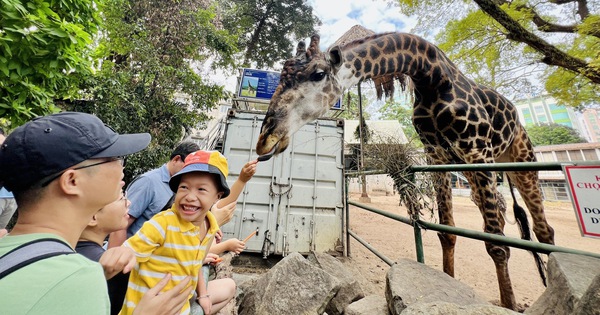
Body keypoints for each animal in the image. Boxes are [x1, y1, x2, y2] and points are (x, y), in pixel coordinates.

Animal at [255, 32, 556, 312]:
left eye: (318, 74)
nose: (265, 140)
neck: (431, 78)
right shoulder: (437, 155)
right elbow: (447, 232)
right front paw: (449, 283)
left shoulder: (477, 150)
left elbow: (496, 244)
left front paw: (508, 305)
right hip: (473, 170)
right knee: (501, 216)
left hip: (518, 161)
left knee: (543, 231)